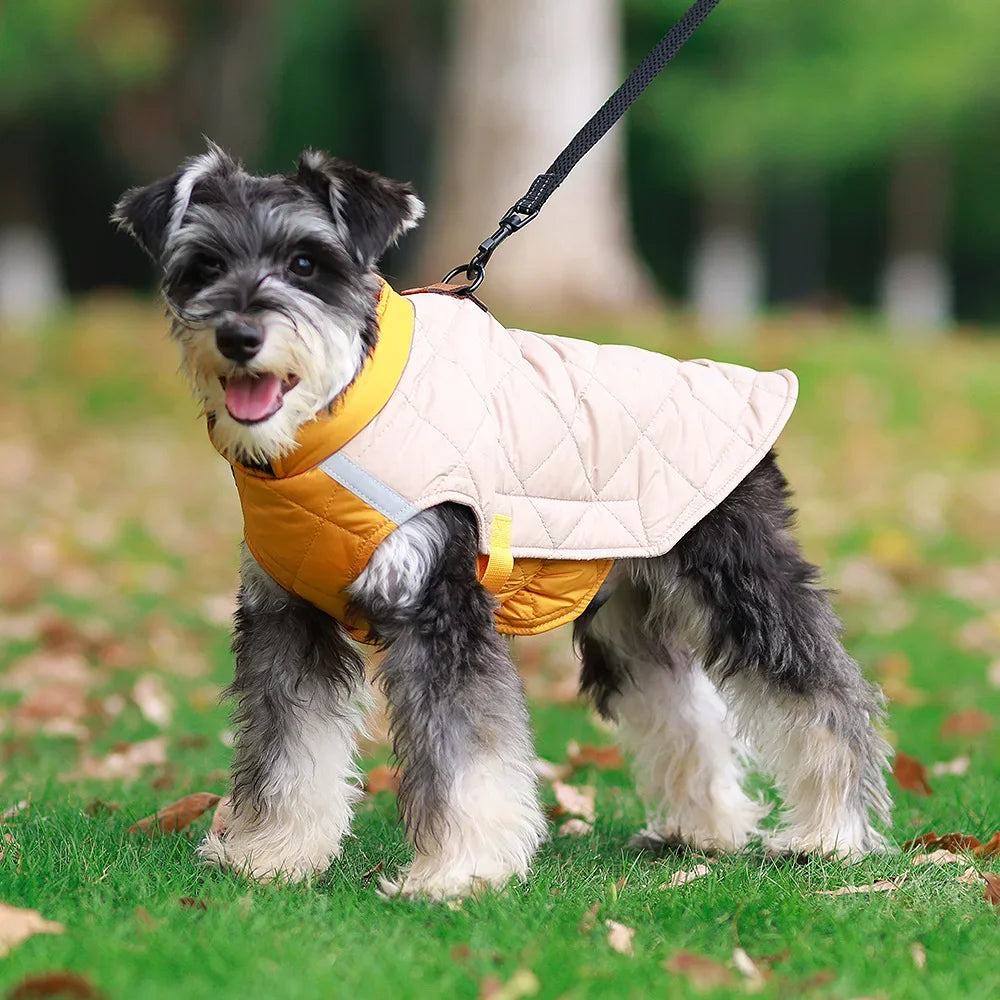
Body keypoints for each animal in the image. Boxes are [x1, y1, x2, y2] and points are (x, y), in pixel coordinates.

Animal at [113, 141, 896, 900]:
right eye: (204, 266)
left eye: (306, 262)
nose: (239, 336)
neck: (327, 429)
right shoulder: (286, 618)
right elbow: (286, 747)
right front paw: (271, 856)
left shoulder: (439, 605)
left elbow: (466, 754)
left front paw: (460, 872)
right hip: (627, 614)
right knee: (685, 706)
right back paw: (706, 829)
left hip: (742, 582)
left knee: (822, 694)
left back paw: (829, 834)